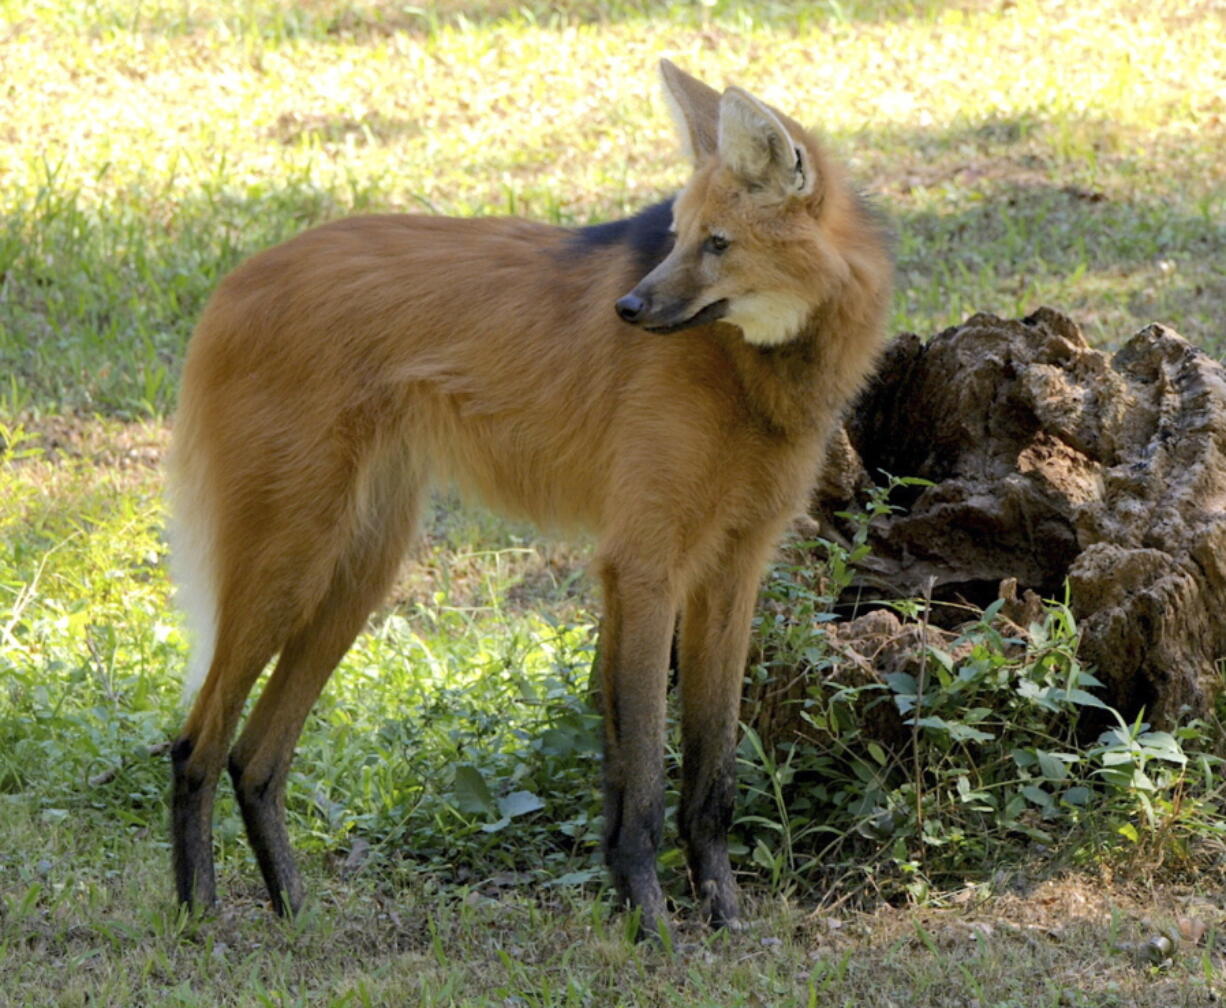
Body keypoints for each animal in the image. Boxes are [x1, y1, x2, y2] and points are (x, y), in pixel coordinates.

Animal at [165, 61, 892, 941]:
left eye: (717, 243)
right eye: (678, 235)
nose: (630, 310)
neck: (760, 371)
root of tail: (234, 279)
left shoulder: (729, 571)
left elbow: (707, 776)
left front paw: (718, 912)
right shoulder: (643, 564)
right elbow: (642, 779)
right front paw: (652, 922)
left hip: (358, 571)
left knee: (256, 757)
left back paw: (296, 916)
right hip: (292, 561)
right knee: (196, 747)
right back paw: (202, 919)